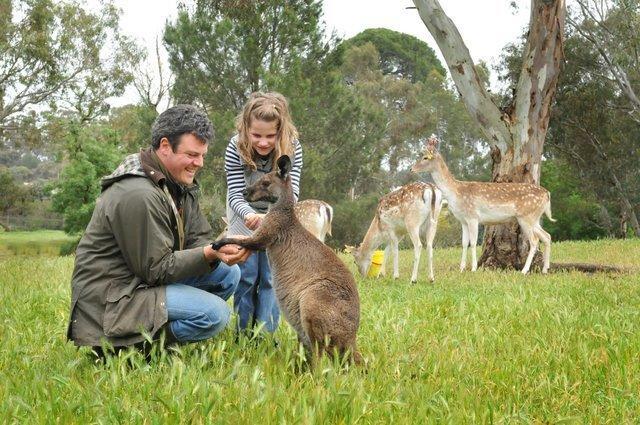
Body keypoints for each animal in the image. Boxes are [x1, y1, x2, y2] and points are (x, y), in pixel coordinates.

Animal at [210, 155, 360, 364]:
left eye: (265, 183)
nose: (244, 192)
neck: (281, 211)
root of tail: (351, 338)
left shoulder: (268, 233)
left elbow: (247, 241)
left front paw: (218, 244)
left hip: (314, 299)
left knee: (320, 356)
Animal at [410, 136, 556, 274]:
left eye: (425, 157)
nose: (411, 169)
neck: (455, 193)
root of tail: (547, 194)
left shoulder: (473, 216)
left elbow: (474, 242)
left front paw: (474, 268)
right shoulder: (463, 220)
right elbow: (464, 243)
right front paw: (462, 268)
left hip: (526, 216)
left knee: (535, 240)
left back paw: (524, 270)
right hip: (534, 218)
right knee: (547, 236)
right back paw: (545, 269)